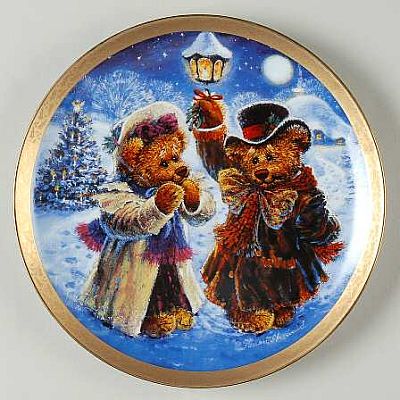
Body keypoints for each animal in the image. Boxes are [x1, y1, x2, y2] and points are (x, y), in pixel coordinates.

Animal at [77, 102, 216, 338]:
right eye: (163, 163)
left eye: (176, 157)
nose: (182, 170)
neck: (147, 188)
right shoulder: (116, 199)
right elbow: (123, 219)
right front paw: (165, 198)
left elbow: (202, 208)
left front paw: (190, 190)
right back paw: (159, 322)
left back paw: (182, 315)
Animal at [189, 90, 343, 334]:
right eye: (253, 159)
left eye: (271, 157)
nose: (261, 173)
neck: (264, 190)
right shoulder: (228, 165)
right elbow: (215, 157)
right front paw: (209, 109)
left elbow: (314, 216)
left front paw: (313, 218)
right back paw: (253, 317)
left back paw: (282, 313)